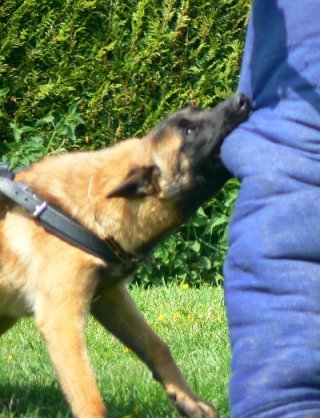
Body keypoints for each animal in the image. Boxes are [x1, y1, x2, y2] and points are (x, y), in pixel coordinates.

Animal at [0, 94, 250, 418]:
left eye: (196, 112)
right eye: (189, 131)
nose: (242, 99)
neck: (87, 212)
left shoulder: (109, 298)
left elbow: (157, 346)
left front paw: (189, 401)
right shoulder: (61, 318)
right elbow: (89, 398)